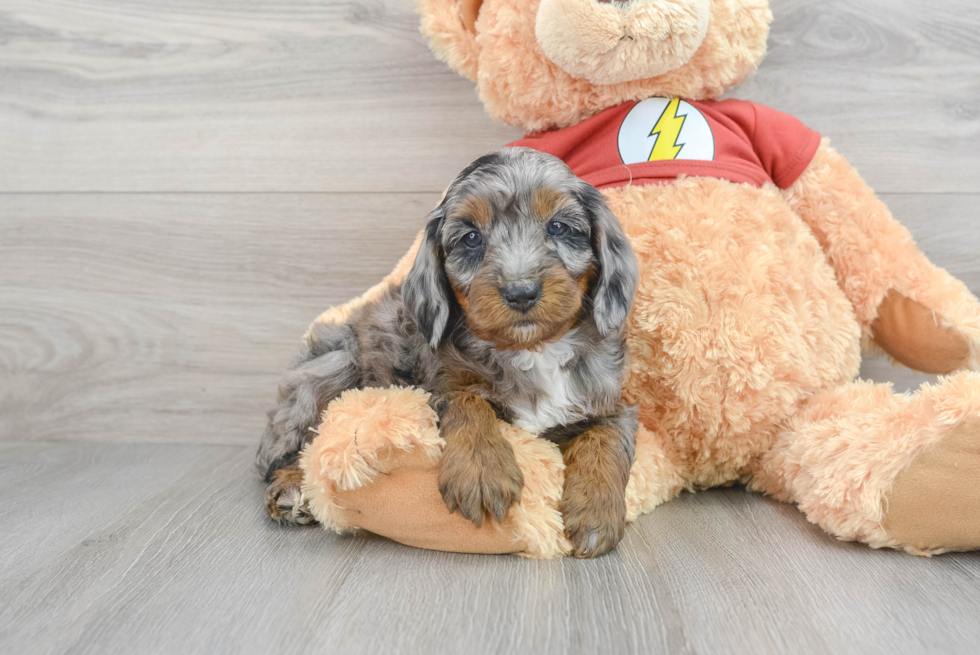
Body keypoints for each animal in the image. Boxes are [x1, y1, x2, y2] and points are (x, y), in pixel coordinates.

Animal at [253, 149, 640, 560]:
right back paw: (291, 487)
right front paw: (483, 472)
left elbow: (607, 437)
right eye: (471, 238)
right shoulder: (435, 384)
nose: (521, 292)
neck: (532, 351)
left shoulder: (610, 401)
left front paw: (596, 511)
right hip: (333, 366)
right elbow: (467, 401)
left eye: (559, 227)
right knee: (297, 451)